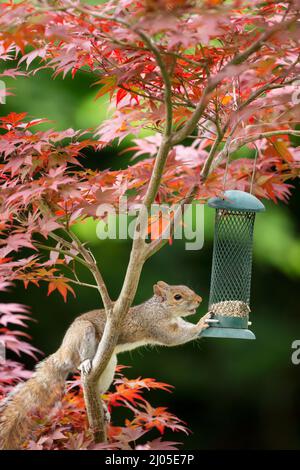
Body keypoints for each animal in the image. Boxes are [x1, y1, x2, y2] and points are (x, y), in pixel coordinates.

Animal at [0, 280, 211, 450]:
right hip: (83, 333)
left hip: (109, 364)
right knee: (80, 362)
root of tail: (63, 352)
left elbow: (184, 329)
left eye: (188, 288)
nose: (199, 300)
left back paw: (101, 406)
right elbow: (176, 337)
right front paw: (202, 323)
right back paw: (85, 363)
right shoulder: (156, 326)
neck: (160, 309)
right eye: (178, 296)